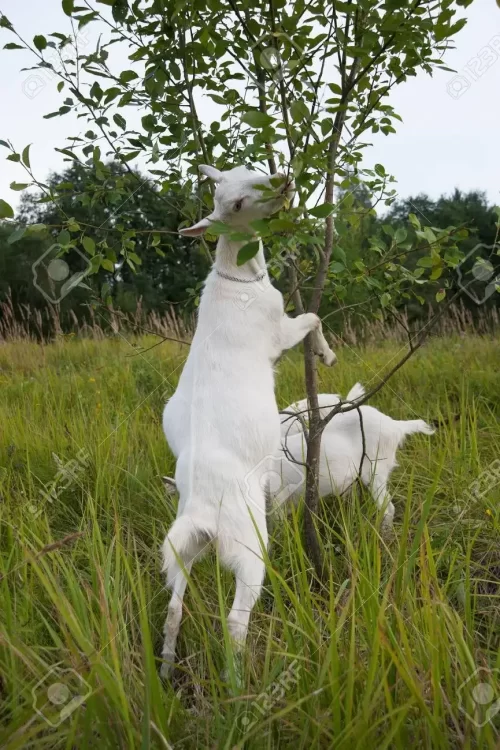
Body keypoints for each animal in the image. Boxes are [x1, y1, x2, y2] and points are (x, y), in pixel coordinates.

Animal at [160, 164, 336, 677]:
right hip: (248, 549)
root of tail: (202, 514)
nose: (282, 181)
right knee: (236, 620)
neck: (237, 279)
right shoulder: (279, 331)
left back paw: (166, 668)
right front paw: (327, 353)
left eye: (245, 171)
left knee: (175, 607)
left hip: (185, 550)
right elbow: (312, 317)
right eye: (235, 205)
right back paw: (239, 680)